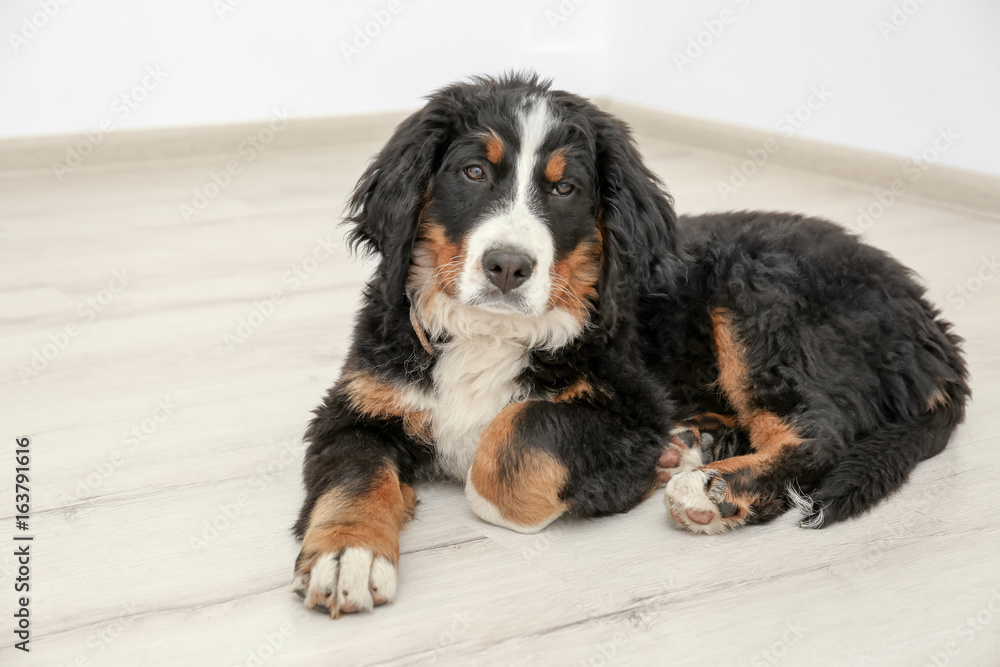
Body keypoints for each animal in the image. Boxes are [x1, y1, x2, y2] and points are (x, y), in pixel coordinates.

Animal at [288, 72, 968, 616]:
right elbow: (353, 479)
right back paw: (692, 446)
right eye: (473, 172)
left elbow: (514, 439)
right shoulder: (363, 404)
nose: (508, 266)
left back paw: (711, 489)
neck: (490, 333)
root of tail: (927, 319)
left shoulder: (631, 404)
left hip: (763, 305)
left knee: (818, 436)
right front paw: (347, 556)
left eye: (564, 190)